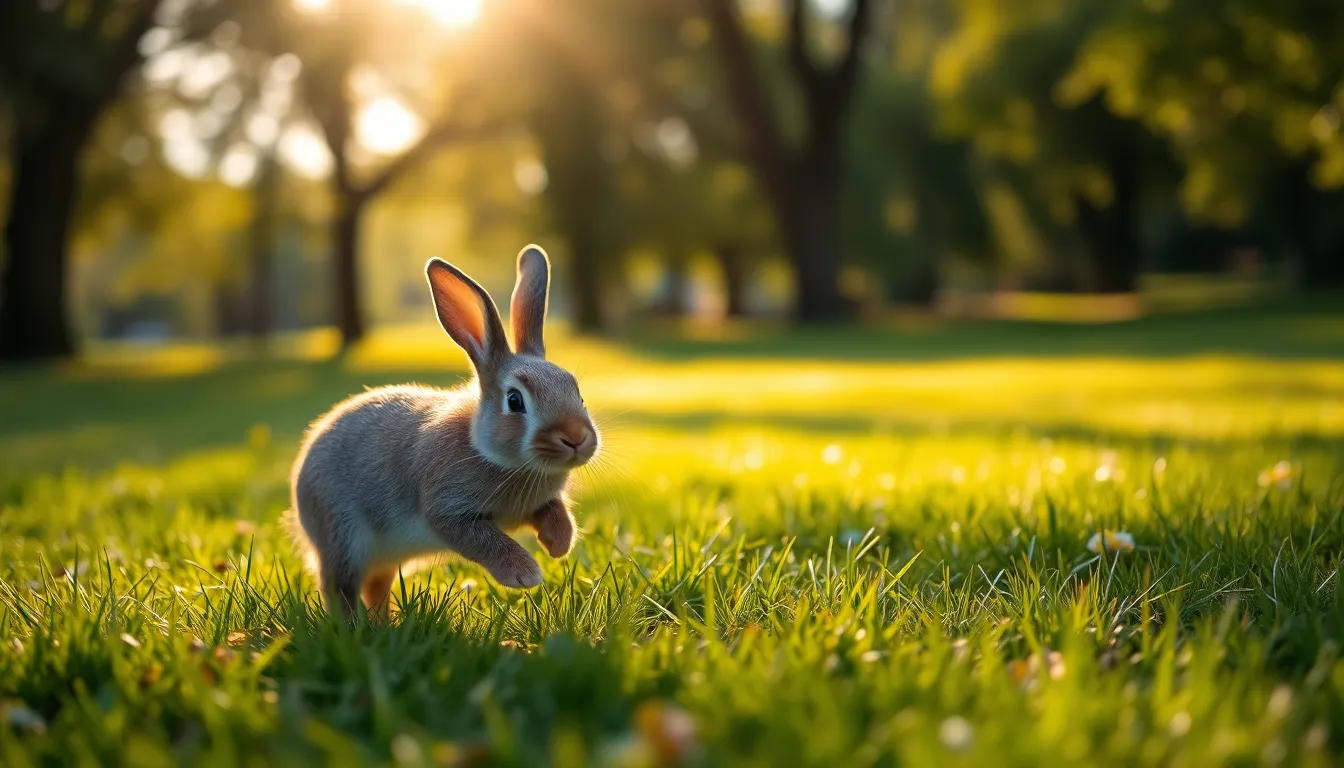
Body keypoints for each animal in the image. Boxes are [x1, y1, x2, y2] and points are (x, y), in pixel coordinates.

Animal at [286, 245, 599, 620]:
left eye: (577, 391)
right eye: (515, 400)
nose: (577, 438)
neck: (488, 452)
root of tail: (300, 476)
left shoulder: (536, 505)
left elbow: (554, 511)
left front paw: (559, 544)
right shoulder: (447, 510)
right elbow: (485, 540)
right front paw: (525, 574)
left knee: (375, 585)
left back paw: (384, 624)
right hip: (343, 536)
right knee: (340, 588)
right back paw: (353, 626)